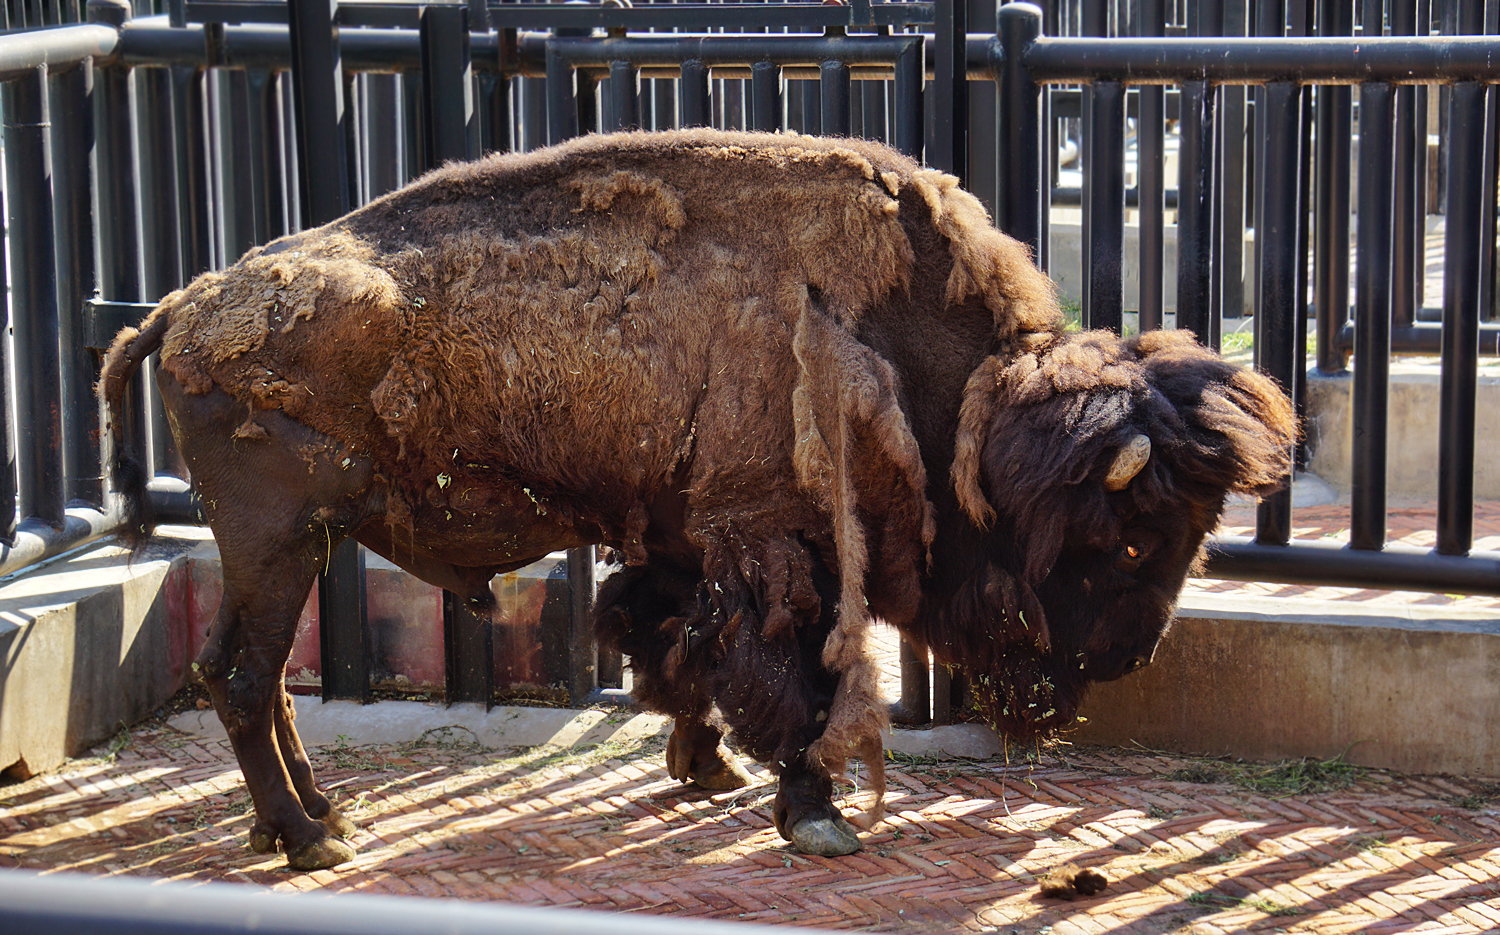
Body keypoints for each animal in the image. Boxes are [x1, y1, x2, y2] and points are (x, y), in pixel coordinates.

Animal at [101, 129, 1293, 870]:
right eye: (1128, 538)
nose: (1132, 654)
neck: (944, 389)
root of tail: (181, 308)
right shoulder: (764, 540)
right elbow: (786, 677)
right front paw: (812, 815)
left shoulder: (682, 544)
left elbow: (670, 647)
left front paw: (704, 767)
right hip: (278, 538)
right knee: (243, 675)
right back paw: (310, 836)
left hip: (287, 546)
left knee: (259, 679)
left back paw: (311, 815)